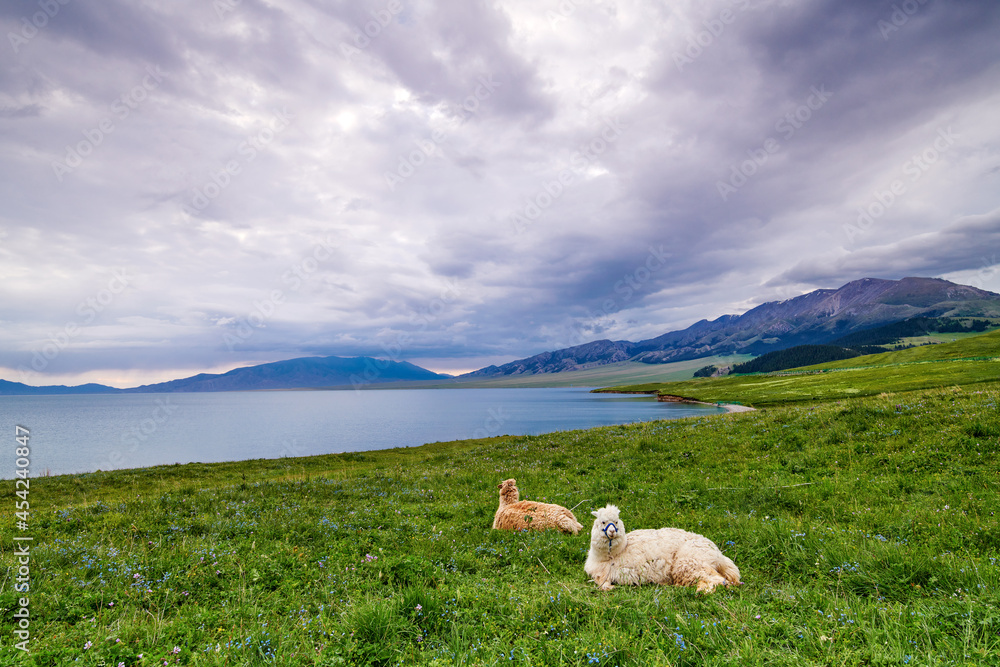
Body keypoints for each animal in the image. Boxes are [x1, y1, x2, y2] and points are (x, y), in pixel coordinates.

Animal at [584, 504, 740, 592]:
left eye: (616, 522)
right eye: (603, 522)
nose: (612, 531)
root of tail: (718, 554)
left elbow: (603, 585)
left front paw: (609, 588)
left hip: (690, 562)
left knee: (718, 580)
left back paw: (699, 591)